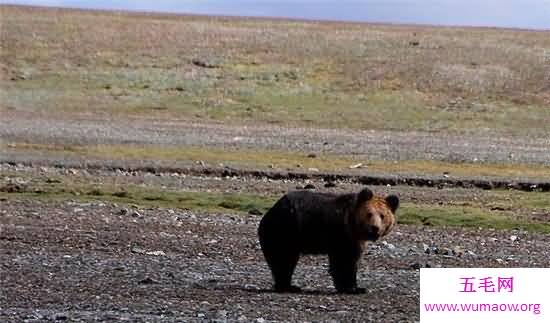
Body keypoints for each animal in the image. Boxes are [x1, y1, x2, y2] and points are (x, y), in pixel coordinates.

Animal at [256, 189, 398, 294]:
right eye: (369, 214)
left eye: (382, 215)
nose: (375, 228)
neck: (353, 224)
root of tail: (270, 212)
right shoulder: (341, 233)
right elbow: (344, 260)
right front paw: (352, 288)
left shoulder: (355, 239)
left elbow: (352, 259)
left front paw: (355, 287)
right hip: (285, 231)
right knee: (283, 259)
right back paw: (288, 286)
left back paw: (289, 286)